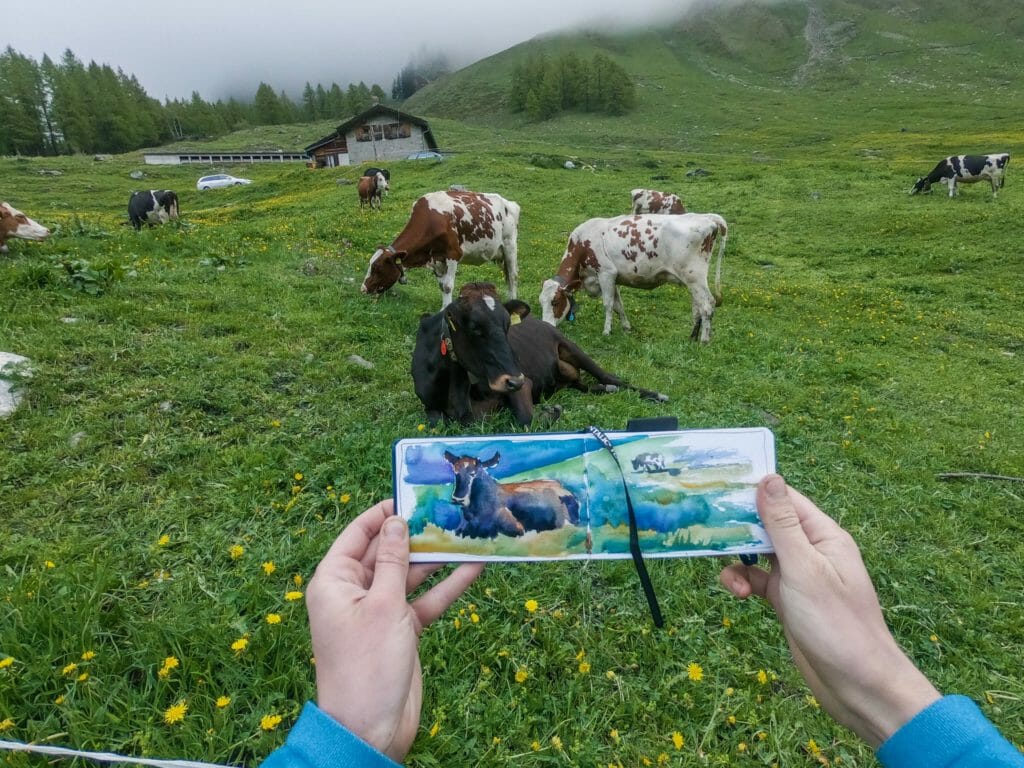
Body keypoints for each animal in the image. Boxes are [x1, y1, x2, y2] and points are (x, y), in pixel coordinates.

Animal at [361, 190, 520, 308]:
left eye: (377, 268)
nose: (363, 289)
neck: (432, 220)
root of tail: (509, 203)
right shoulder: (436, 258)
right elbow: (442, 285)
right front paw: (443, 308)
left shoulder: (453, 254)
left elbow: (448, 286)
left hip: (509, 246)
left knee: (512, 276)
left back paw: (513, 301)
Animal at [411, 282, 667, 427]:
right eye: (475, 328)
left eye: (507, 326)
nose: (513, 380)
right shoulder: (430, 406)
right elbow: (440, 420)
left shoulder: (524, 384)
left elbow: (526, 419)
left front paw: (552, 412)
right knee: (587, 386)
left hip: (571, 347)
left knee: (608, 377)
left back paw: (654, 394)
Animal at [538, 212, 728, 341]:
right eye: (541, 302)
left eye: (555, 302)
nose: (546, 326)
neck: (582, 245)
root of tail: (706, 217)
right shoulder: (613, 278)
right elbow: (618, 305)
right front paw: (626, 327)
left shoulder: (606, 273)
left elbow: (608, 304)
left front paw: (607, 331)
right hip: (691, 281)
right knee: (698, 308)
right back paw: (692, 337)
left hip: (695, 277)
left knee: (707, 306)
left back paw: (704, 340)